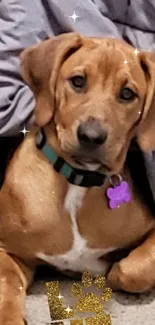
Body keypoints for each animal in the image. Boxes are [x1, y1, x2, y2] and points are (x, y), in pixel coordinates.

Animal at [0, 33, 155, 324]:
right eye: (78, 81)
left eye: (127, 94)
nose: (91, 137)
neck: (76, 182)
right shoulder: (6, 246)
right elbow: (7, 283)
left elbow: (134, 268)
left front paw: (114, 271)